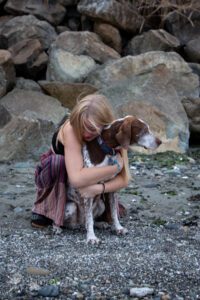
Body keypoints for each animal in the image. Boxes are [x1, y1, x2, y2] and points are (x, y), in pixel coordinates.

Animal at [61, 115, 162, 244]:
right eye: (144, 130)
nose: (160, 142)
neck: (108, 150)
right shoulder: (88, 191)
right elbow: (89, 218)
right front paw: (91, 237)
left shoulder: (112, 190)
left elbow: (114, 213)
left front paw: (118, 228)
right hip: (70, 207)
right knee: (73, 223)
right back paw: (58, 228)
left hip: (101, 205)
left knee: (88, 221)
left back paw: (100, 224)